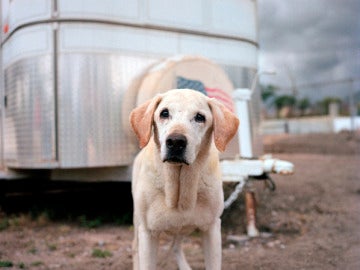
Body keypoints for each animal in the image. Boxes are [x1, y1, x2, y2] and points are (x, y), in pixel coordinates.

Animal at [129, 89, 239, 270]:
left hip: (181, 229)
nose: (175, 142)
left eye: (200, 117)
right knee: (135, 249)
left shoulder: (212, 228)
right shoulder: (148, 232)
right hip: (138, 222)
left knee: (176, 246)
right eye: (164, 113)